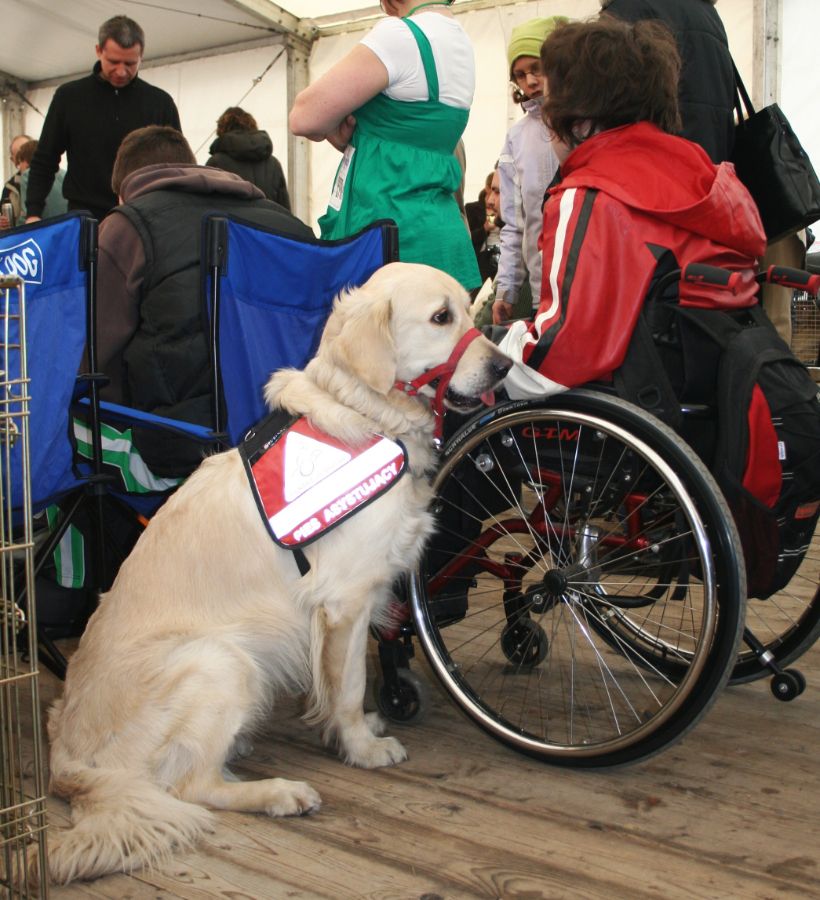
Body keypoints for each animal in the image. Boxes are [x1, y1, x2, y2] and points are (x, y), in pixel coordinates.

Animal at [44, 260, 512, 880]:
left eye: (468, 304)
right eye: (441, 317)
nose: (506, 364)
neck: (367, 412)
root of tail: (65, 758)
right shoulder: (345, 602)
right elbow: (349, 687)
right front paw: (363, 748)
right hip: (220, 661)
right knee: (191, 787)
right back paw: (280, 792)